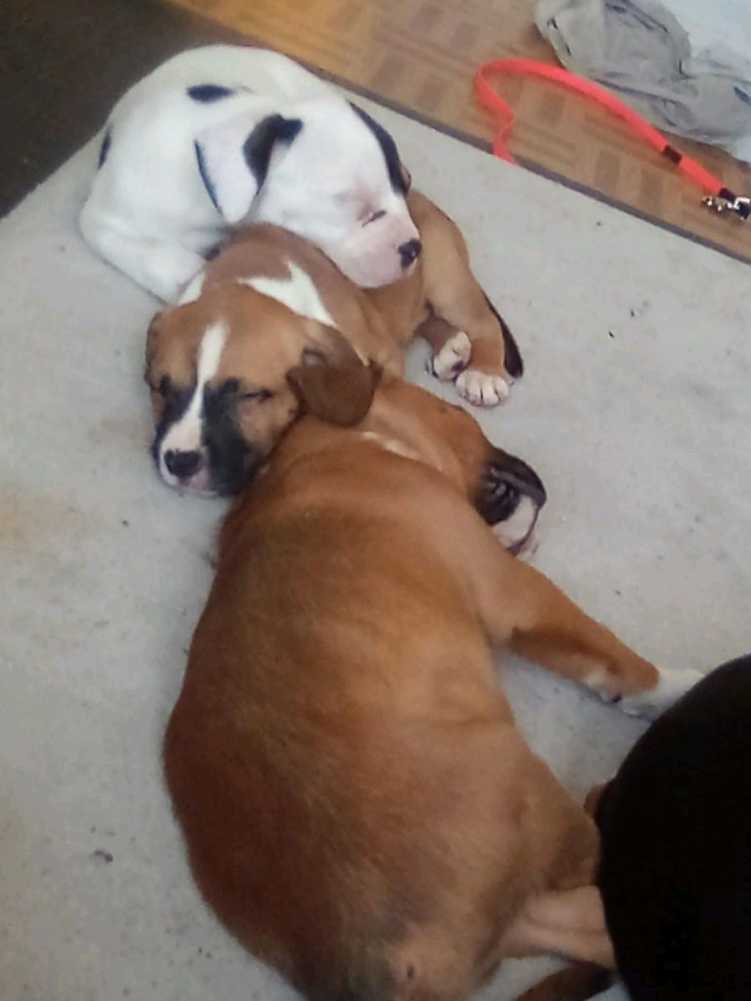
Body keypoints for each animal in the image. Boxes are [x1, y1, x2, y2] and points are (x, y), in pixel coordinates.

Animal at [144, 191, 523, 496]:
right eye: (161, 388)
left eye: (250, 396)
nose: (179, 461)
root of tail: (420, 198)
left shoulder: (382, 356)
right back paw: (451, 347)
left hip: (447, 281)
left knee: (482, 323)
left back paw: (484, 372)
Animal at [163, 343, 702, 1001]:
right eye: (458, 413)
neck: (339, 443)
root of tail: (397, 968)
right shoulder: (520, 596)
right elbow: (612, 655)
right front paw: (674, 685)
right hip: (540, 804)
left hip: (526, 917)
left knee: (597, 931)